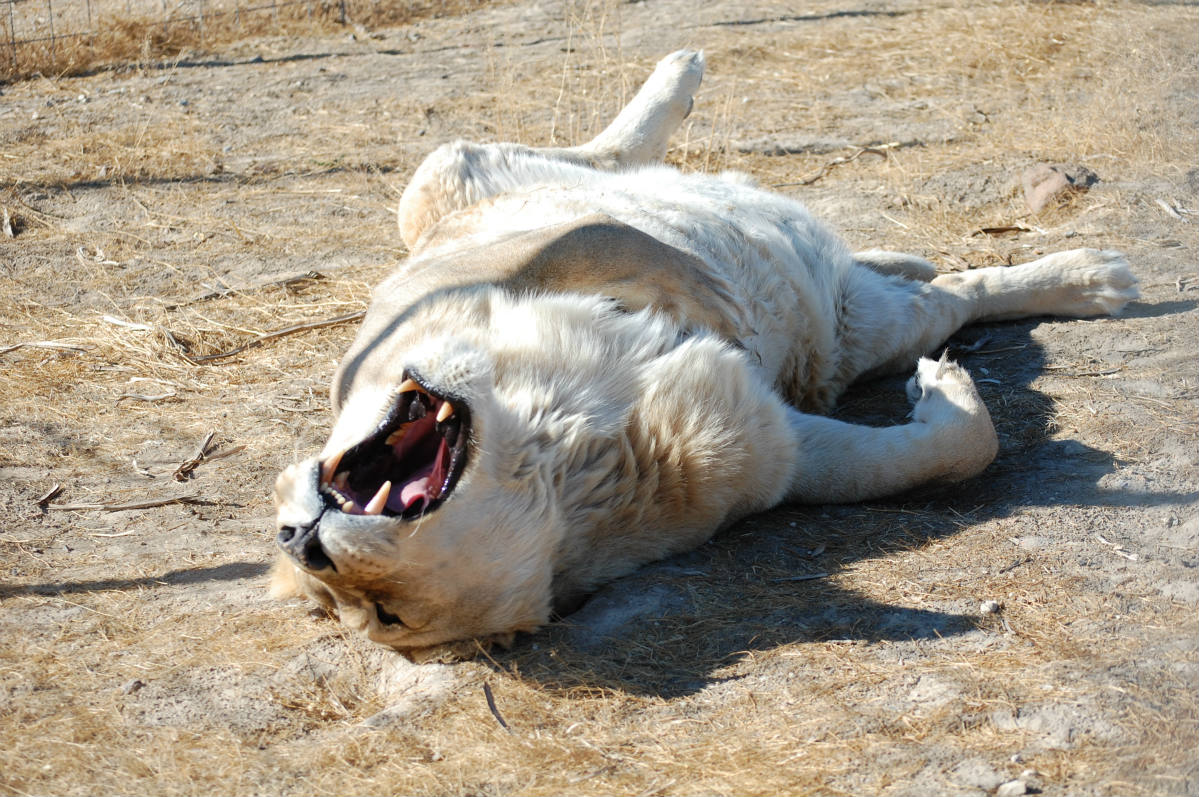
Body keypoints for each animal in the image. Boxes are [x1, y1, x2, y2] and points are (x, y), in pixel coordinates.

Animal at [271, 51, 1138, 654]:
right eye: (382, 612)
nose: (303, 539)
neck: (552, 444)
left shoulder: (474, 274)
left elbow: (618, 241)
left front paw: (708, 297)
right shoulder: (775, 446)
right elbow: (952, 453)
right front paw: (942, 394)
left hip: (440, 183)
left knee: (591, 161)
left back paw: (678, 76)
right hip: (865, 330)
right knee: (948, 294)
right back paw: (1088, 280)